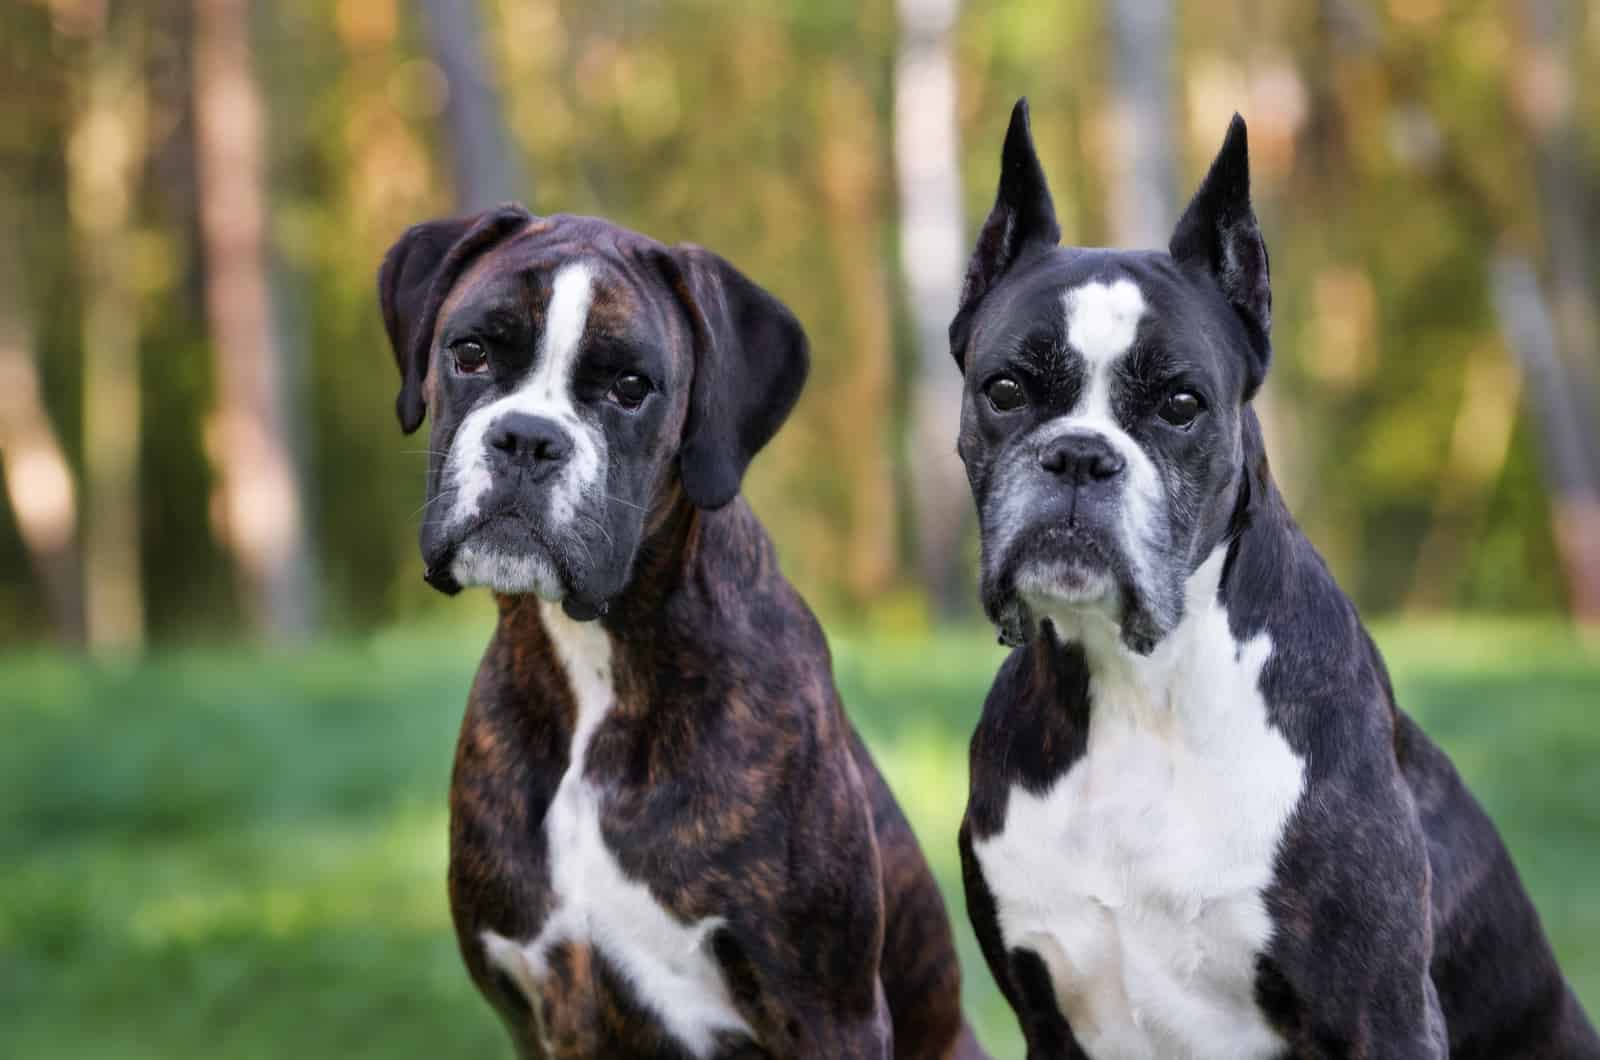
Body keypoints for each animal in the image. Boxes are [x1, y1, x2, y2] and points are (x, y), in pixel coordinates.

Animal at [379, 208, 979, 1060]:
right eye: (470, 352)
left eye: (631, 387)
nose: (527, 437)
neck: (596, 667)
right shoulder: (532, 1013)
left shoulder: (831, 1014)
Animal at [940, 99, 1593, 1060]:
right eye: (1005, 391)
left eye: (1181, 404)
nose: (1080, 456)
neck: (1140, 692)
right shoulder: (1048, 1018)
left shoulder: (1384, 1013)